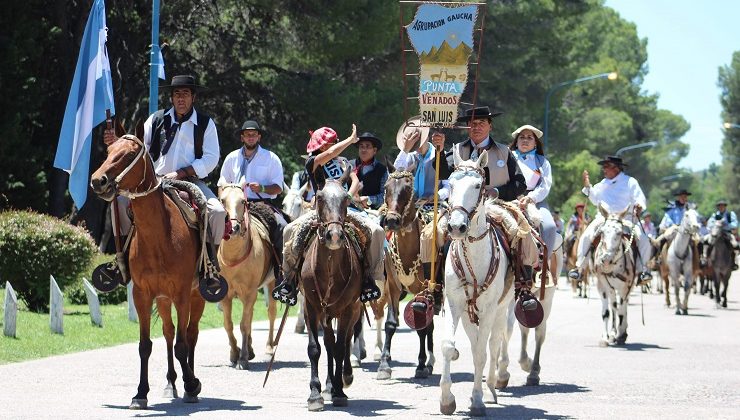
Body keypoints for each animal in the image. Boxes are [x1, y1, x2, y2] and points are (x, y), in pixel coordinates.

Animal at [90, 129, 204, 410]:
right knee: (169, 332)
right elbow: (145, 345)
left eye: (129, 154)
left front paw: (192, 384)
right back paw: (171, 382)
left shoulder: (182, 294)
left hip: (197, 295)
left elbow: (182, 345)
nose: (98, 181)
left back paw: (190, 381)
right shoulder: (142, 294)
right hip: (162, 299)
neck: (158, 237)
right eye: (109, 152)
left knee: (190, 334)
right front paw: (141, 392)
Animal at [220, 185, 280, 370]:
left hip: (271, 283)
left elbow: (244, 324)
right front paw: (234, 353)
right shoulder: (226, 295)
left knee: (271, 313)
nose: (233, 228)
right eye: (222, 200)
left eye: (243, 201)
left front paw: (243, 358)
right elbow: (228, 325)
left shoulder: (250, 293)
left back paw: (269, 347)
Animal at [296, 172, 362, 412]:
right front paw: (315, 393)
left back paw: (343, 378)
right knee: (329, 344)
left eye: (346, 199)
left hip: (353, 311)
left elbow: (342, 347)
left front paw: (340, 390)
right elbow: (316, 348)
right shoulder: (311, 307)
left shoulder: (347, 310)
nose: (334, 235)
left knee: (343, 341)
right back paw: (328, 385)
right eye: (320, 198)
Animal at [436, 152, 512, 416]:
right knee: (475, 340)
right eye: (450, 184)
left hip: (501, 310)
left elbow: (481, 353)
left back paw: (490, 389)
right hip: (470, 313)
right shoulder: (454, 303)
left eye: (478, 185)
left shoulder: (489, 309)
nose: (456, 227)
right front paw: (447, 400)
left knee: (493, 344)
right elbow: (448, 345)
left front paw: (477, 400)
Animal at [588, 203, 636, 344]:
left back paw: (622, 331)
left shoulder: (625, 287)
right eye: (602, 232)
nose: (606, 259)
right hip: (611, 288)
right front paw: (606, 336)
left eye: (619, 233)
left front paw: (621, 334)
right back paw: (614, 332)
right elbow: (607, 311)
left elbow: (622, 310)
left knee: (623, 306)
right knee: (613, 305)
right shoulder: (602, 285)